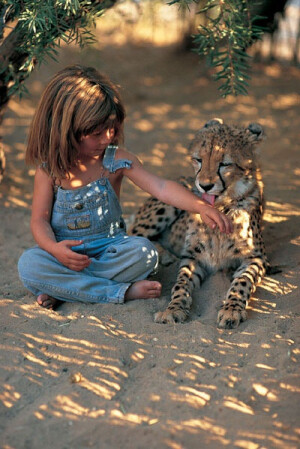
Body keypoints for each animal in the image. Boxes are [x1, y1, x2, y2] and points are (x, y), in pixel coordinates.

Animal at [131, 118, 270, 328]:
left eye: (225, 163)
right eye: (198, 160)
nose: (204, 185)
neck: (220, 210)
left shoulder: (256, 258)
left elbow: (242, 283)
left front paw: (232, 309)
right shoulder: (192, 257)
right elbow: (181, 283)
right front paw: (173, 309)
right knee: (132, 235)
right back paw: (164, 255)